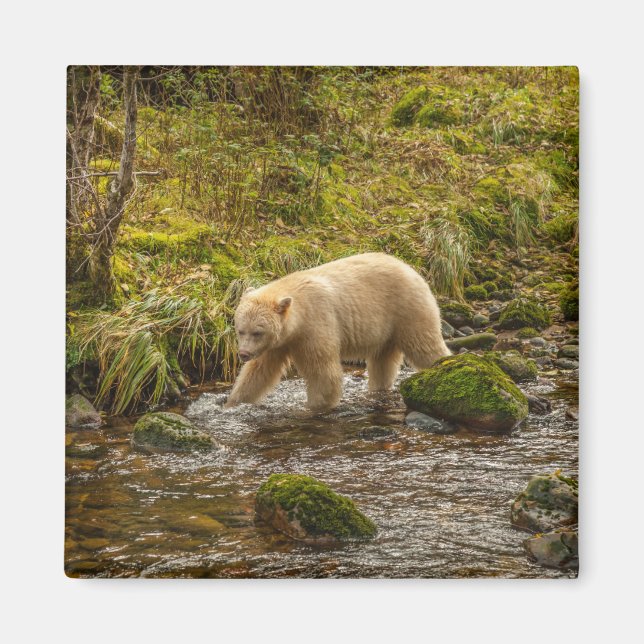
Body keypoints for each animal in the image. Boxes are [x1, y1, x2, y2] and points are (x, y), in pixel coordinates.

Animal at [224, 252, 451, 411]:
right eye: (240, 330)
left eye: (258, 332)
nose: (243, 354)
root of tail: (411, 268)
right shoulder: (279, 343)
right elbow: (259, 373)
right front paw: (232, 403)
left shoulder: (315, 325)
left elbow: (323, 372)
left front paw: (314, 407)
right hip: (386, 330)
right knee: (382, 362)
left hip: (407, 309)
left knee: (424, 346)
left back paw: (443, 365)